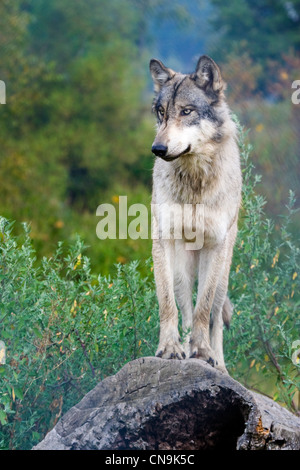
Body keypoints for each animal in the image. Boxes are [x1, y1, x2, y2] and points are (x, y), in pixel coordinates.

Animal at [149, 55, 241, 372]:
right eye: (162, 112)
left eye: (186, 111)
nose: (157, 148)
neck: (195, 183)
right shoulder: (163, 241)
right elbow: (167, 305)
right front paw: (169, 348)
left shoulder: (215, 245)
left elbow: (205, 309)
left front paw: (202, 352)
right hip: (182, 270)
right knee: (185, 309)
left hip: (222, 272)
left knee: (214, 315)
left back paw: (219, 364)